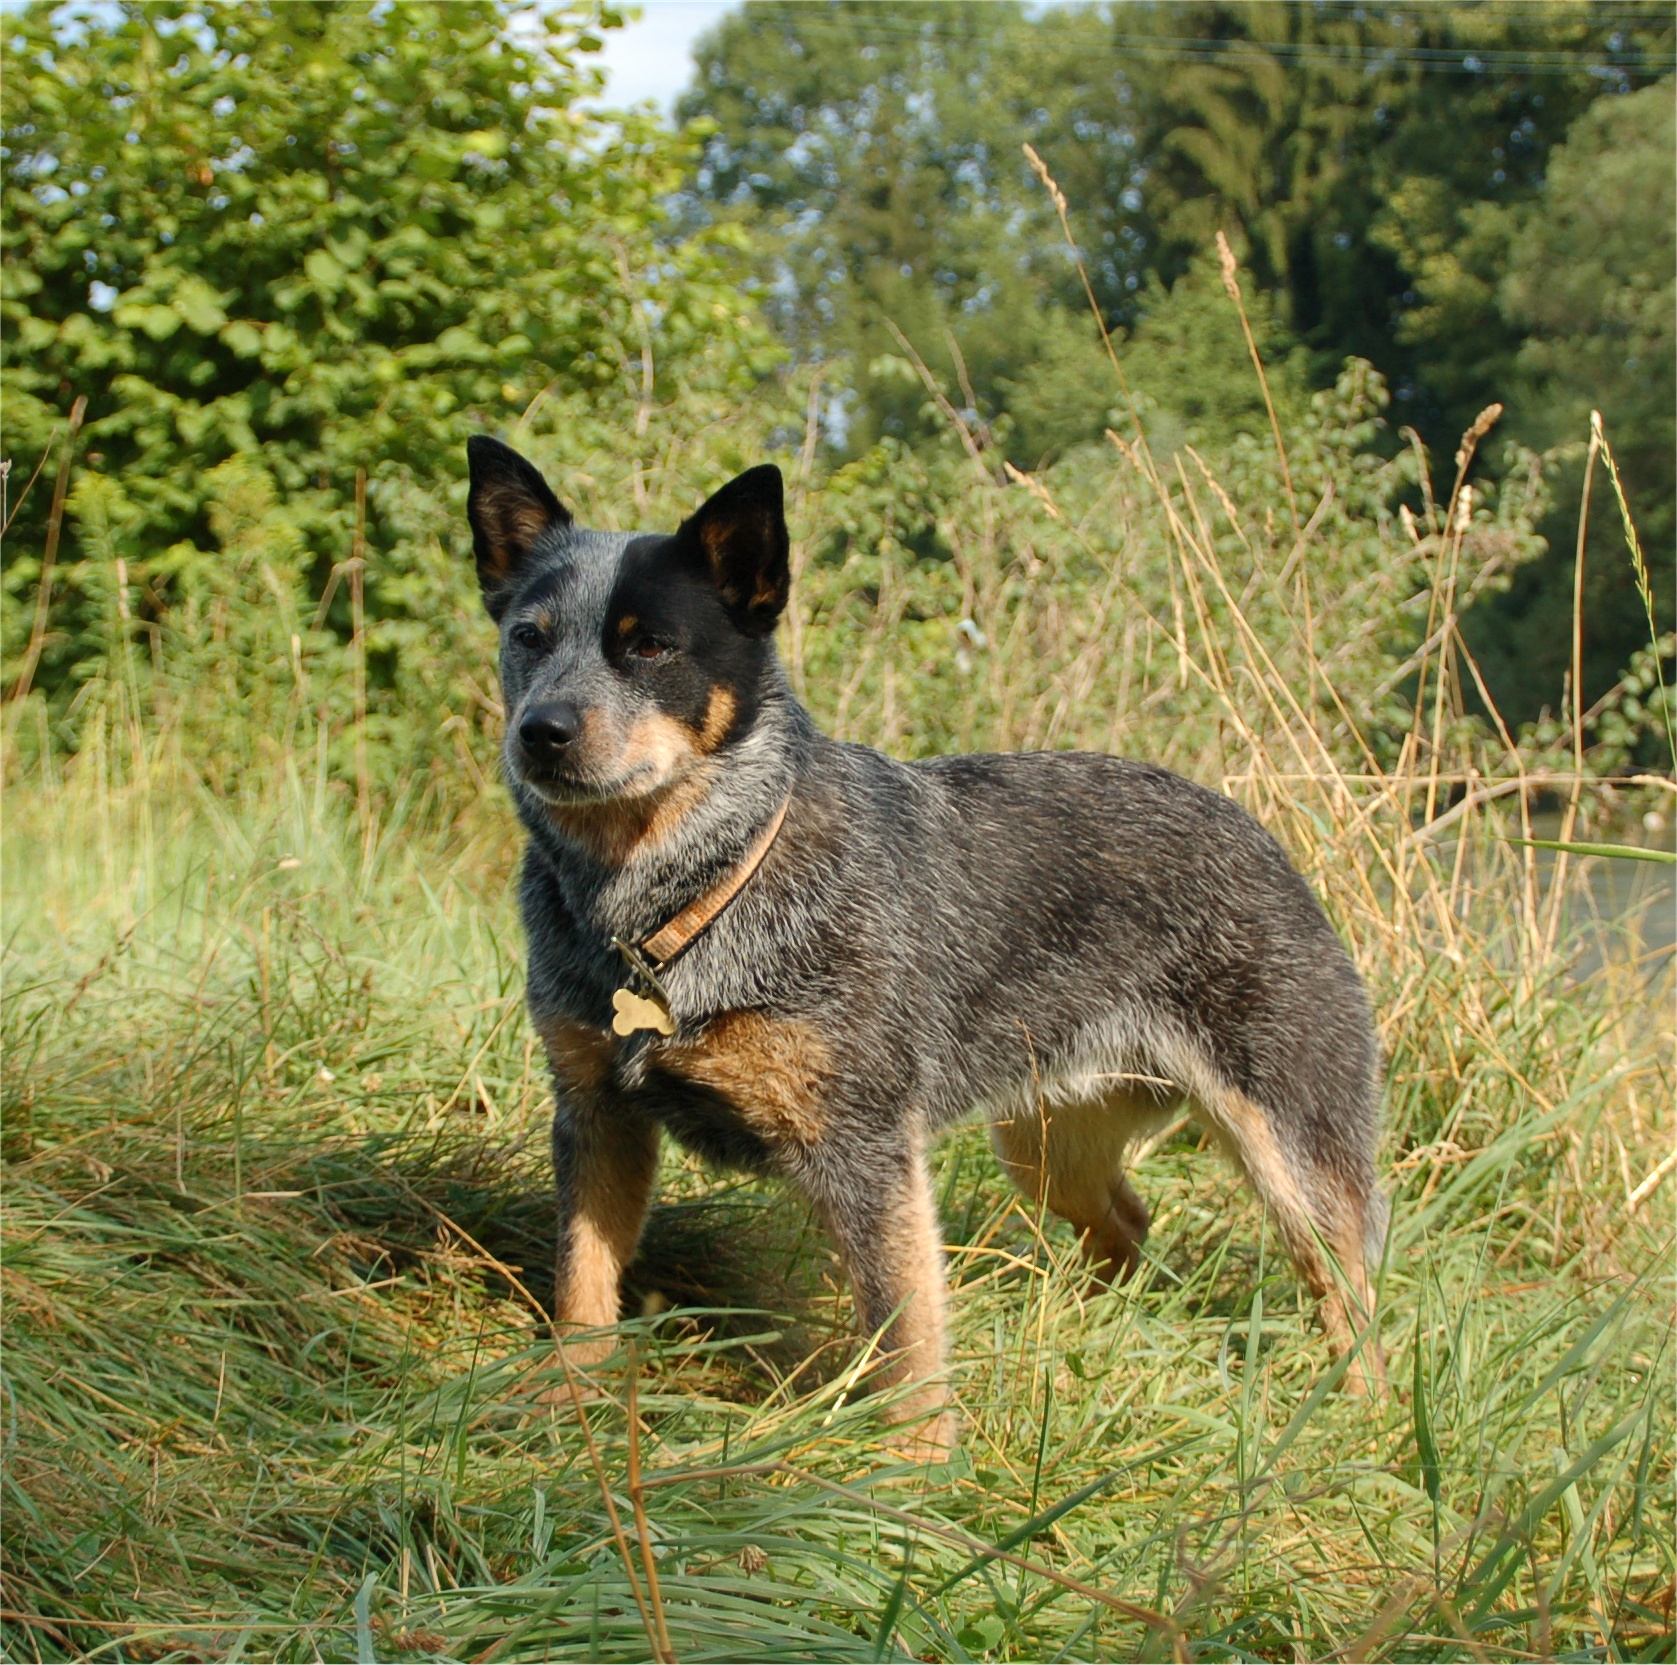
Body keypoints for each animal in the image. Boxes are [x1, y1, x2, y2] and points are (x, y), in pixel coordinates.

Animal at [466, 435, 1381, 1448]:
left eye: (650, 644)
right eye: (529, 636)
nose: (540, 731)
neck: (685, 896)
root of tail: (1261, 834)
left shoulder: (863, 1148)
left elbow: (905, 1334)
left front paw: (911, 1466)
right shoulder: (597, 1114)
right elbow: (582, 1284)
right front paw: (564, 1399)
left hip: (1292, 1156)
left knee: (1351, 1293)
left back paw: (1356, 1419)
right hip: (1046, 1147)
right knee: (1126, 1223)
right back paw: (1087, 1327)